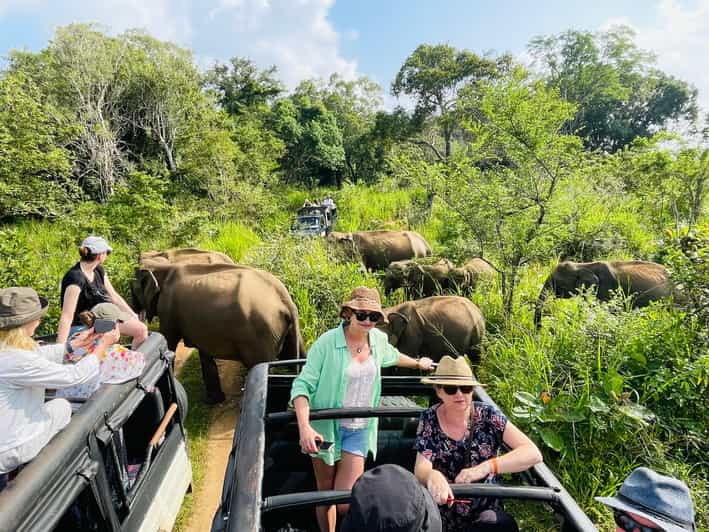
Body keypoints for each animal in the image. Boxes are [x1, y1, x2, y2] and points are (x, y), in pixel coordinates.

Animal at [131, 262, 302, 404]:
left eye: (133, 292)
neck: (162, 268)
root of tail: (284, 300)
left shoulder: (167, 310)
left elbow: (168, 343)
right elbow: (204, 354)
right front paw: (213, 401)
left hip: (259, 335)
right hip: (283, 330)